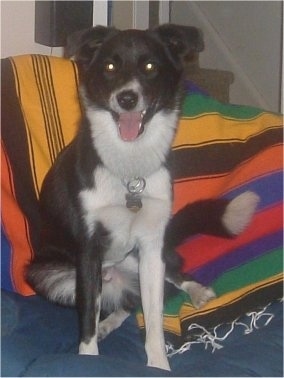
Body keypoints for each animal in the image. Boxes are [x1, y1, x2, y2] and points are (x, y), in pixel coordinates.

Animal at [26, 24, 260, 372]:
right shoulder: (88, 250)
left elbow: (154, 320)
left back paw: (196, 290)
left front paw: (158, 365)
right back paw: (108, 322)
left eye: (150, 66)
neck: (129, 167)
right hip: (46, 275)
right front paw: (88, 359)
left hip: (147, 258)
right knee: (119, 303)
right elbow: (88, 319)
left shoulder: (151, 246)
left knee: (163, 281)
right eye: (110, 66)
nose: (127, 98)